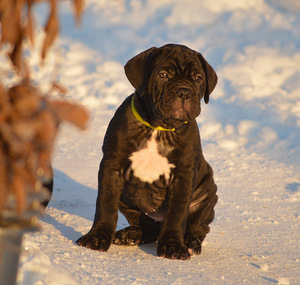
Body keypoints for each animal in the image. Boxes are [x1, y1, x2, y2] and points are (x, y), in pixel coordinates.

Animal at [77, 44, 218, 260]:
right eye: (163, 75)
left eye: (198, 78)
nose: (184, 92)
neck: (158, 128)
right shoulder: (112, 168)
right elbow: (106, 206)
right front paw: (97, 237)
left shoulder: (183, 176)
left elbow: (177, 214)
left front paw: (173, 246)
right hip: (127, 198)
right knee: (147, 225)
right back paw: (129, 235)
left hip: (207, 192)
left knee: (197, 226)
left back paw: (190, 242)